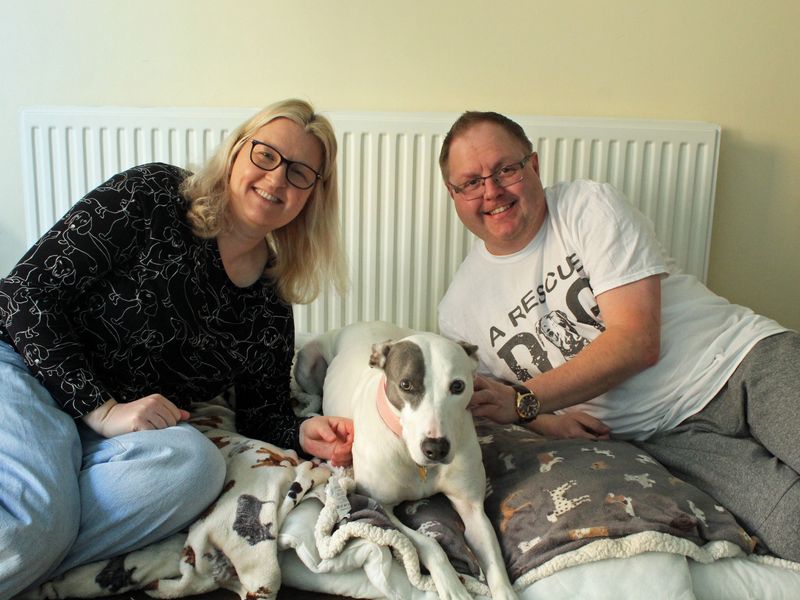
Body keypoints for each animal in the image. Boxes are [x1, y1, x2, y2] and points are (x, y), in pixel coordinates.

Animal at [296, 322, 520, 600]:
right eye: (405, 384)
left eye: (457, 386)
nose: (436, 448)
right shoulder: (381, 507)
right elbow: (429, 543)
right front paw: (453, 586)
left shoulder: (472, 508)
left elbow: (494, 559)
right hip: (307, 361)